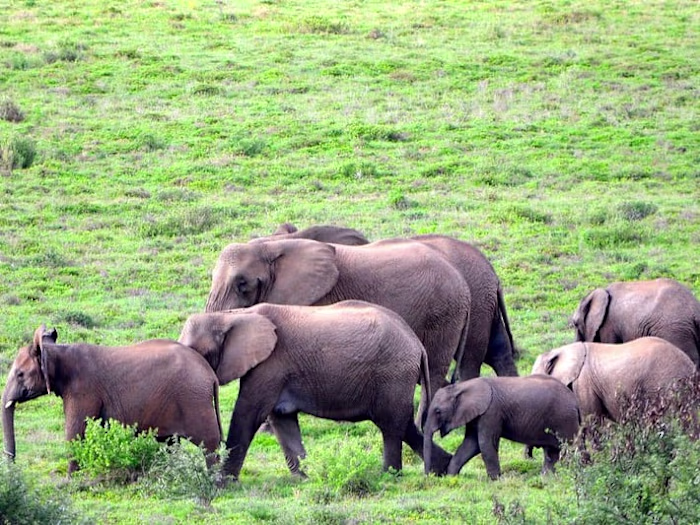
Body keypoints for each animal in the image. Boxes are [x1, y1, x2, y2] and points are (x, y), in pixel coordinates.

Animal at [2, 325, 222, 474]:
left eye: (20, 374)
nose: (12, 464)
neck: (57, 352)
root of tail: (211, 375)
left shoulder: (83, 390)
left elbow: (75, 432)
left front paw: (71, 481)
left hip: (194, 400)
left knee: (209, 445)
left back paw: (214, 482)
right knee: (172, 444)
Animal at [178, 301, 454, 479]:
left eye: (200, 354)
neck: (232, 315)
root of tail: (418, 345)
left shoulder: (271, 365)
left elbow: (248, 413)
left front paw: (222, 482)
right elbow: (283, 421)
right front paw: (305, 478)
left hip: (392, 374)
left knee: (392, 426)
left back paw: (389, 476)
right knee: (403, 424)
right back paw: (443, 468)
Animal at [204, 237, 472, 422]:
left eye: (242, 284)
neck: (270, 246)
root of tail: (464, 284)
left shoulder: (316, 300)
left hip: (443, 315)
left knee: (433, 374)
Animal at [423, 375, 579, 480]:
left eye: (438, 411)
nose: (429, 477)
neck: (461, 387)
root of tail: (574, 400)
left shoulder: (491, 412)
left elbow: (484, 444)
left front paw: (496, 481)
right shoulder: (477, 415)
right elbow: (471, 445)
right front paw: (451, 477)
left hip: (565, 419)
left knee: (569, 448)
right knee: (552, 452)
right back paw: (547, 478)